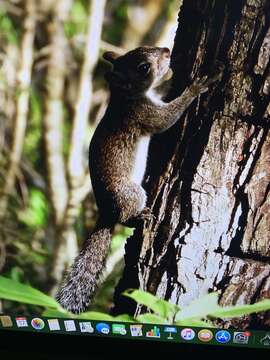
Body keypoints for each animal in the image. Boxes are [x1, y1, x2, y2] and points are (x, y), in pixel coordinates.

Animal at [56, 46, 223, 314]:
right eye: (143, 67)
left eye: (140, 49)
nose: (167, 50)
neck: (126, 97)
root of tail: (107, 212)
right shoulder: (144, 113)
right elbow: (167, 118)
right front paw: (198, 86)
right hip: (132, 193)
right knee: (125, 218)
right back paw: (139, 217)